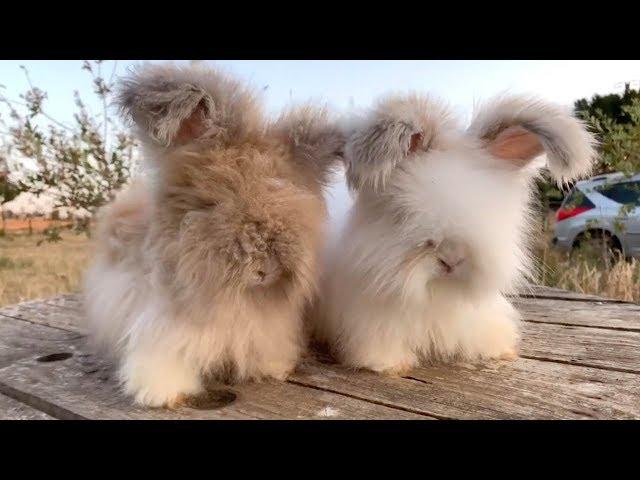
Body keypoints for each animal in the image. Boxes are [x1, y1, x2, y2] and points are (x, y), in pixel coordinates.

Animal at [85, 62, 348, 406]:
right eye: (212, 203)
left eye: (295, 205)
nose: (265, 269)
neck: (233, 300)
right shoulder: (159, 325)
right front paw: (163, 393)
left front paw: (272, 367)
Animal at [318, 92, 596, 374]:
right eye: (403, 213)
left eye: (487, 210)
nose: (451, 260)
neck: (438, 293)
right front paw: (391, 364)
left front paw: (499, 350)